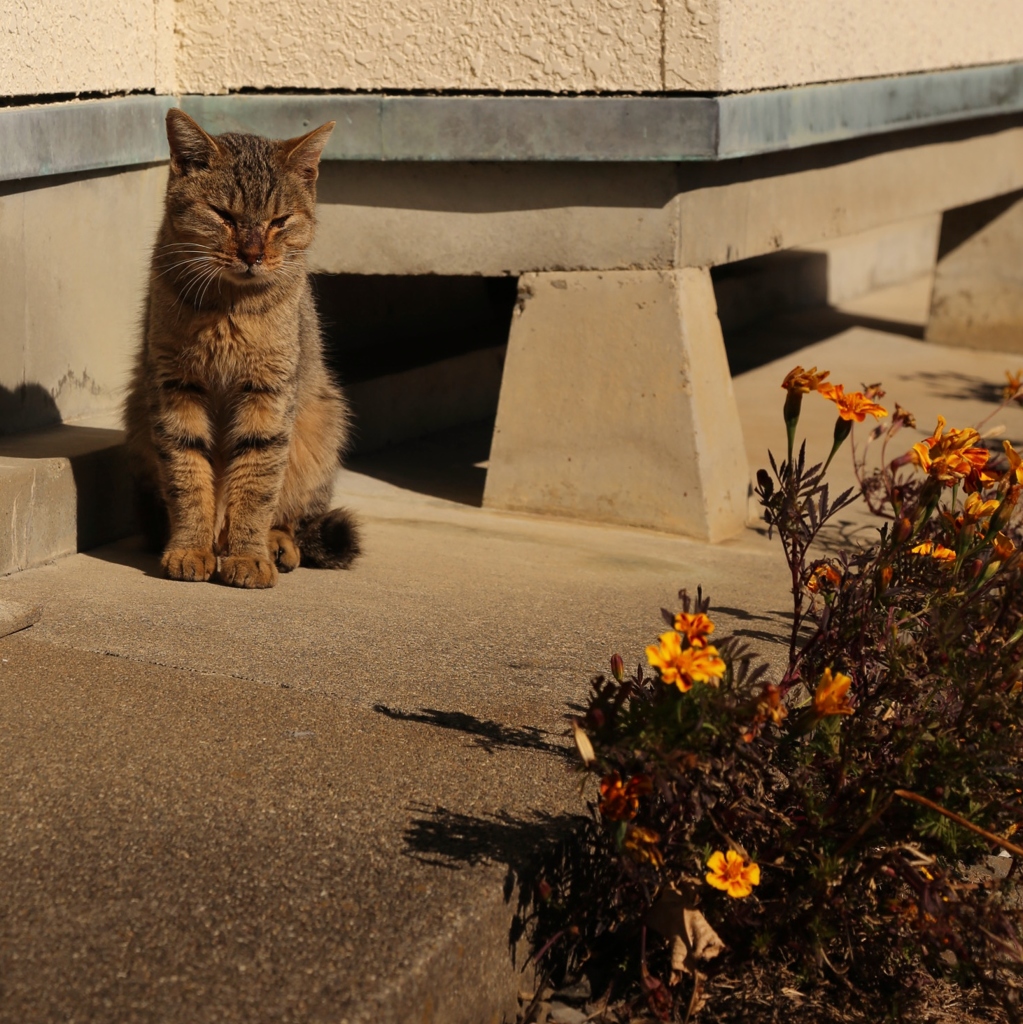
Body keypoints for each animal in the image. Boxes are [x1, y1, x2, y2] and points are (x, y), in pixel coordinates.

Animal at [124, 108, 360, 589]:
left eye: (279, 221)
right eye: (223, 215)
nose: (252, 254)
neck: (228, 307)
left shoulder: (269, 394)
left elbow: (255, 485)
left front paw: (248, 556)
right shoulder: (175, 387)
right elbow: (189, 478)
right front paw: (190, 548)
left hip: (322, 424)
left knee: (289, 514)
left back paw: (275, 545)